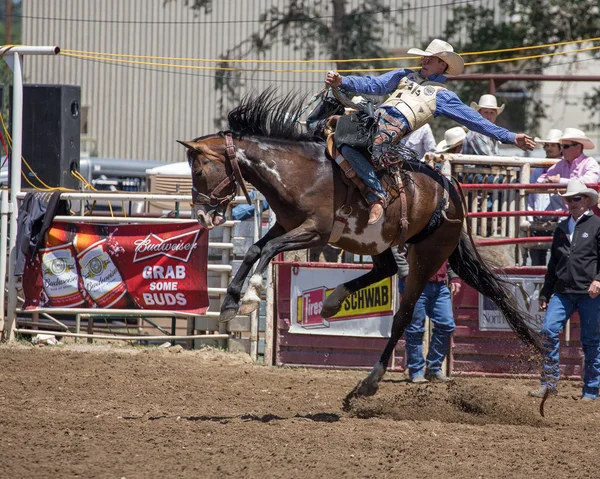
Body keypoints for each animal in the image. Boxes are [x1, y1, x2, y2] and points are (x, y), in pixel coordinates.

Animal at [177, 89, 544, 408]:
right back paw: (331, 302)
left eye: (199, 170)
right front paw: (229, 304)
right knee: (385, 269)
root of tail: (452, 189)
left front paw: (252, 295)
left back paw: (368, 383)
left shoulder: (315, 233)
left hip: (427, 256)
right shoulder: (285, 225)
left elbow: (269, 253)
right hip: (376, 240)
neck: (297, 171)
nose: (203, 216)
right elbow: (255, 250)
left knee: (403, 316)